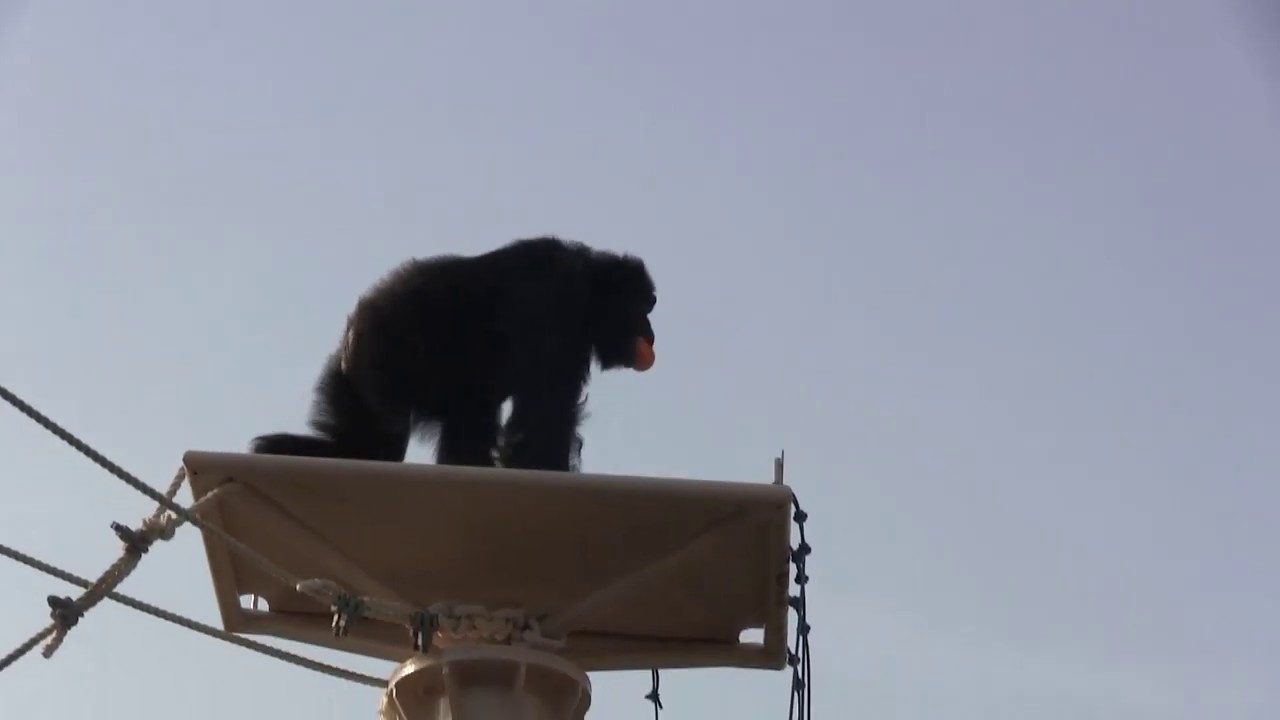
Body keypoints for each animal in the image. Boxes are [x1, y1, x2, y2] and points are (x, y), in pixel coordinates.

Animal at [249, 236, 656, 472]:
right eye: (643, 304)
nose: (651, 331)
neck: (590, 288)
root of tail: (353, 327)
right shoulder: (557, 302)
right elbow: (545, 414)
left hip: (354, 377)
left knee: (367, 445)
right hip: (387, 358)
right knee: (383, 443)